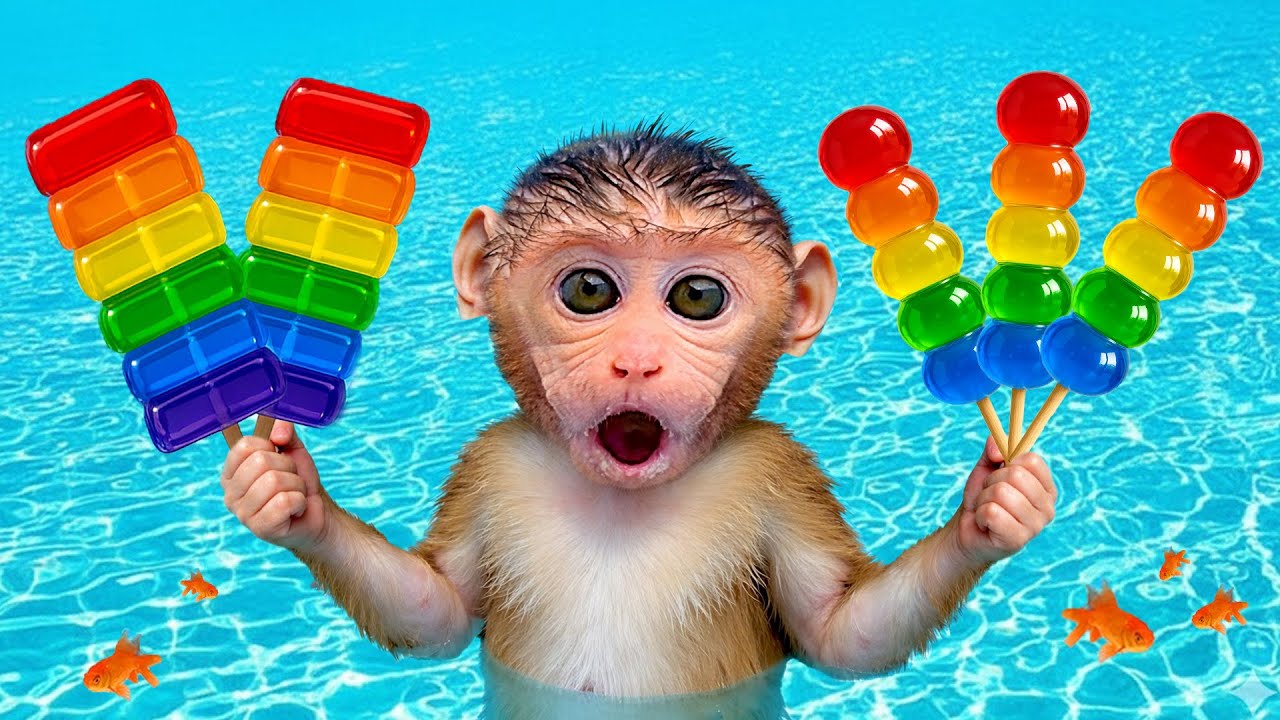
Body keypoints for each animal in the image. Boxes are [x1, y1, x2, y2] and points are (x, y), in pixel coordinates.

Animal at [220, 121, 1057, 701]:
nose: (637, 359)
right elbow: (435, 609)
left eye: (698, 298)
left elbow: (840, 632)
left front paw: (995, 503)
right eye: (589, 290)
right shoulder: (488, 462)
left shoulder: (782, 473)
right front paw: (285, 488)